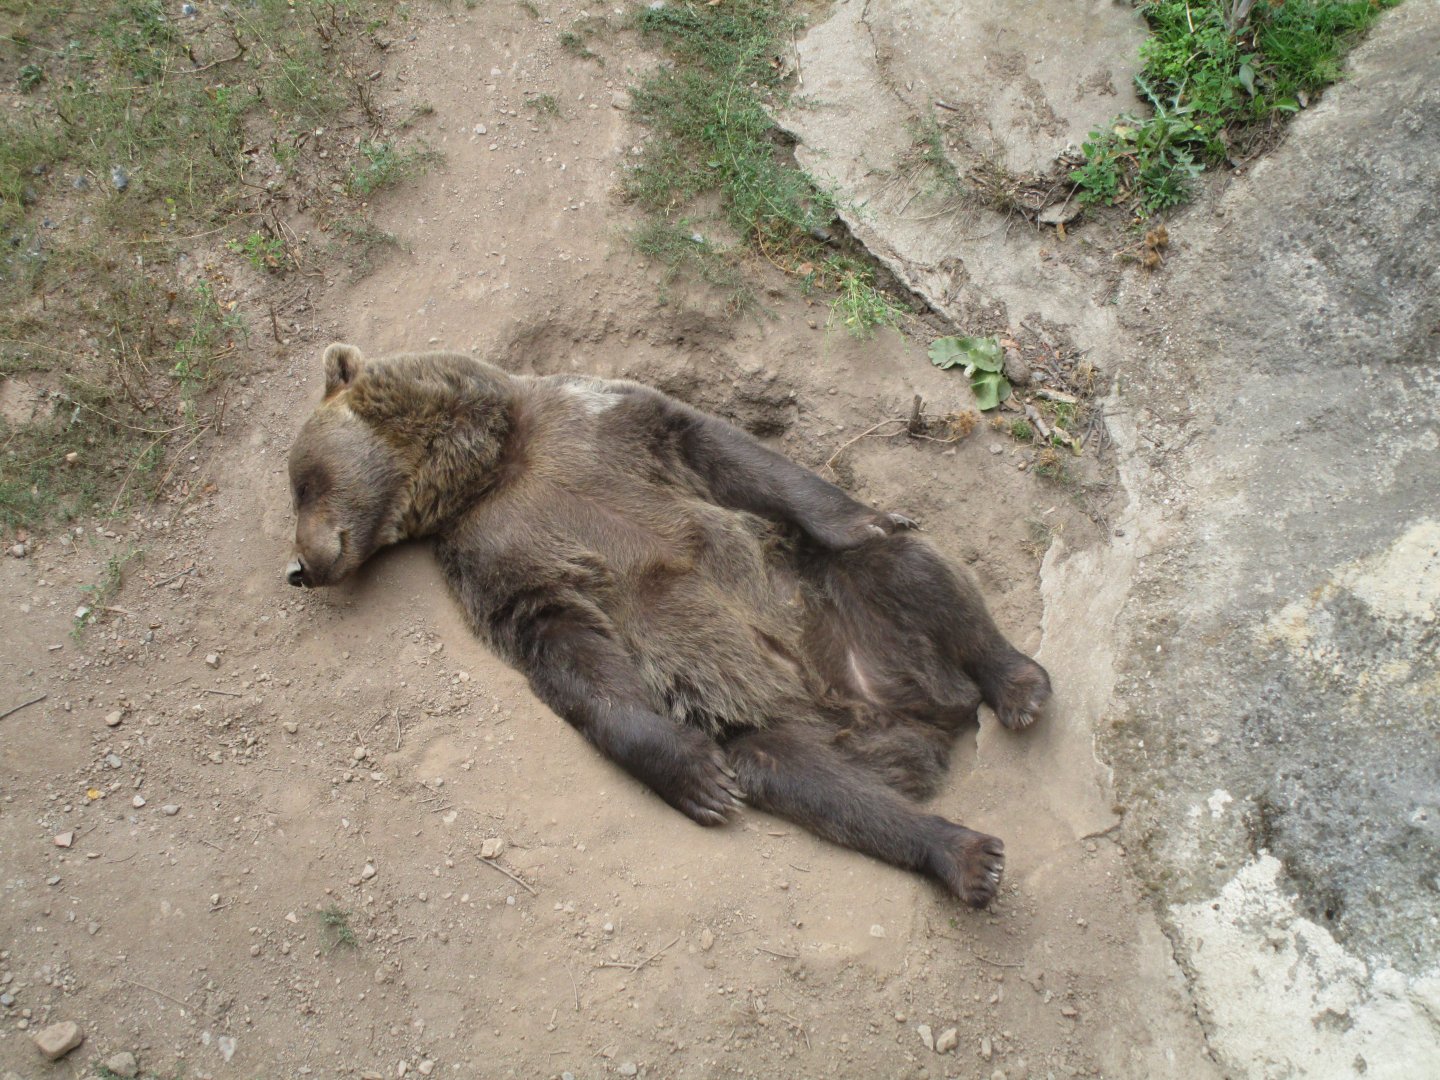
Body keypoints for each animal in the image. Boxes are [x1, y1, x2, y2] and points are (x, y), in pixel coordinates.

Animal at [286, 343, 1050, 907]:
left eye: (302, 481)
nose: (300, 567)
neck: (491, 467)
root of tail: (901, 715)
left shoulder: (598, 421)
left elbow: (729, 449)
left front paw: (867, 515)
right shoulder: (497, 559)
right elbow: (571, 650)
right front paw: (696, 774)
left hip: (841, 602)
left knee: (907, 570)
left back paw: (1019, 685)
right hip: (783, 730)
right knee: (821, 786)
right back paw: (965, 853)